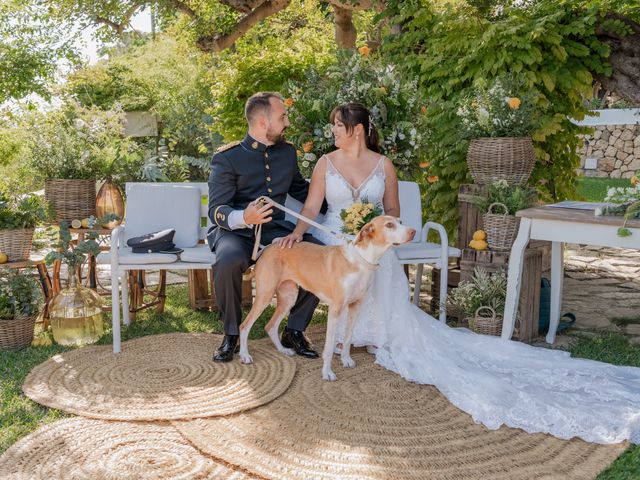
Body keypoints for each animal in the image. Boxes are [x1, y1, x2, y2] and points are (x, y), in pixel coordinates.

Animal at [236, 216, 416, 380]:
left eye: (400, 221)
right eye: (389, 225)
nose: (413, 231)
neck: (361, 260)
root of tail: (266, 249)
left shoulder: (355, 307)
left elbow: (348, 338)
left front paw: (346, 360)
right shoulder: (335, 310)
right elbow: (329, 348)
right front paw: (327, 373)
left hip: (288, 298)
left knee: (270, 326)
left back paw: (283, 350)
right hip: (265, 296)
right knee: (244, 326)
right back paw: (244, 355)